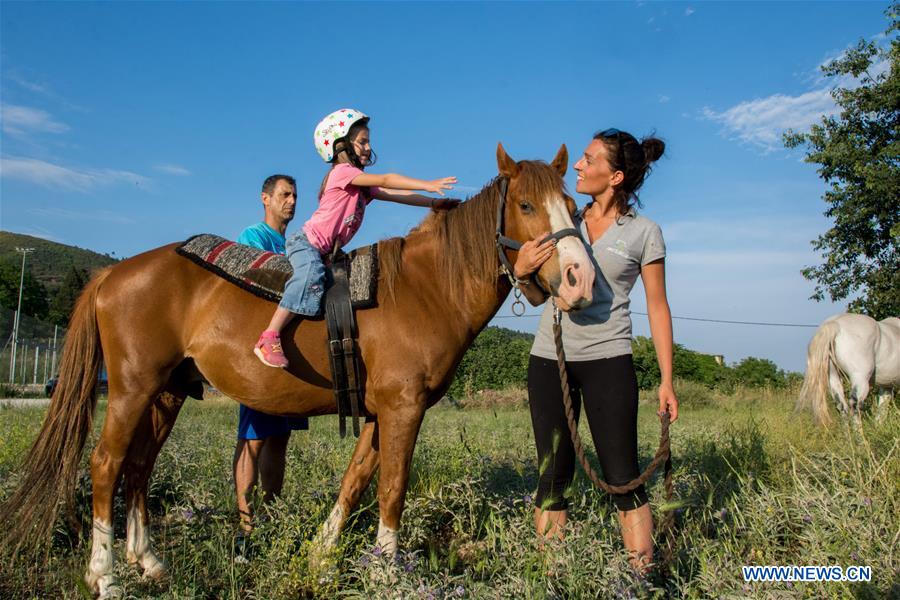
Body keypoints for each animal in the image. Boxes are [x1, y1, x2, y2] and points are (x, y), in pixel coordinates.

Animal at [1, 144, 596, 596]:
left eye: (574, 206)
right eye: (525, 204)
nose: (578, 279)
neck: (424, 288)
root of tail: (113, 273)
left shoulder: (381, 411)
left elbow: (356, 480)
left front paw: (322, 556)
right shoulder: (403, 409)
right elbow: (391, 487)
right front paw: (386, 573)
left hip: (166, 393)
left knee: (139, 467)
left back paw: (147, 562)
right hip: (131, 389)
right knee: (106, 464)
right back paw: (104, 577)